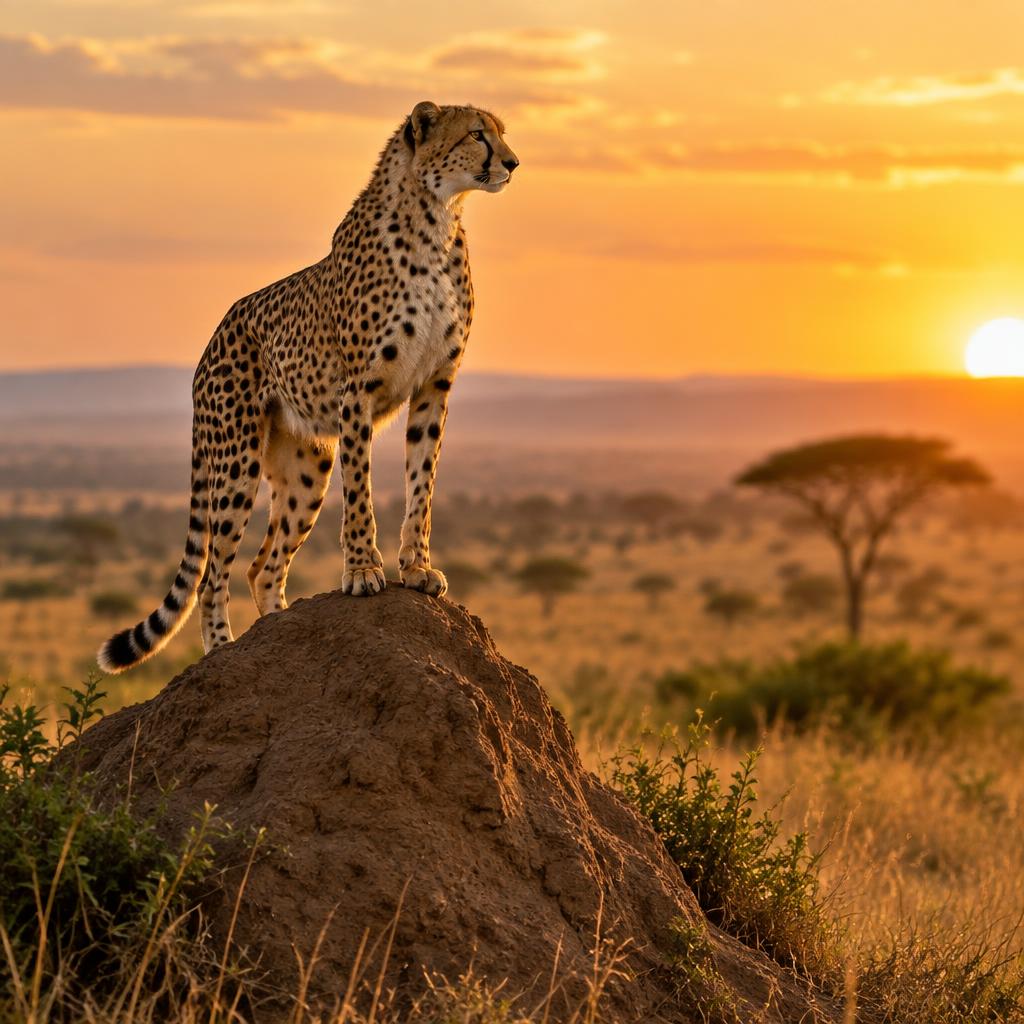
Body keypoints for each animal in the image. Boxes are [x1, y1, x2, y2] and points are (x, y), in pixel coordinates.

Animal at [98, 101, 519, 674]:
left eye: (500, 132)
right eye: (477, 134)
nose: (513, 162)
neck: (435, 216)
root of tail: (212, 340)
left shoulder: (436, 384)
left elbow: (422, 482)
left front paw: (416, 567)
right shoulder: (357, 389)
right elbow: (361, 487)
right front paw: (363, 571)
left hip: (305, 467)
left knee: (262, 566)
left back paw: (277, 627)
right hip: (236, 460)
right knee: (212, 574)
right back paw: (223, 649)